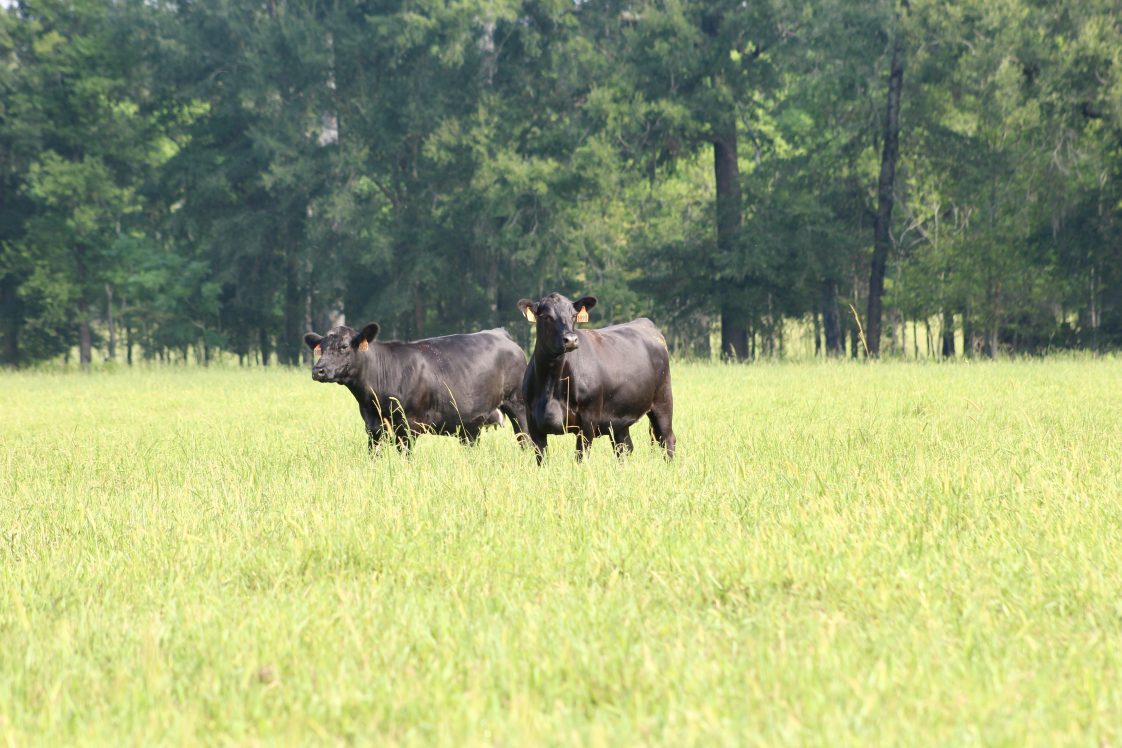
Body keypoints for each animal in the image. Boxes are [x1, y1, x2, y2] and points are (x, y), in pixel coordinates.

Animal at [303, 323, 529, 452]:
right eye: (320, 349)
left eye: (343, 346)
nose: (318, 370)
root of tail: (501, 334)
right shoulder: (373, 428)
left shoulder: (408, 426)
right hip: (470, 424)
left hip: (518, 404)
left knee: (526, 440)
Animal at [516, 292, 675, 463]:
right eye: (546, 316)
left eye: (574, 316)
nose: (571, 340)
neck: (551, 385)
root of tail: (645, 323)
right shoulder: (533, 424)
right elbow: (542, 459)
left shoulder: (588, 421)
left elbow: (580, 456)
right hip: (620, 417)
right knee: (624, 447)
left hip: (663, 400)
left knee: (667, 439)